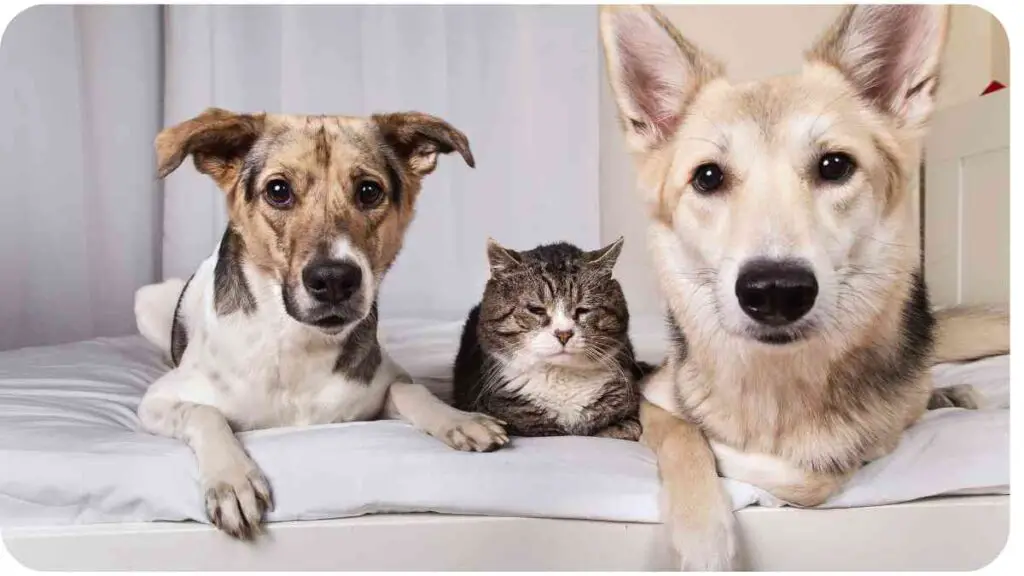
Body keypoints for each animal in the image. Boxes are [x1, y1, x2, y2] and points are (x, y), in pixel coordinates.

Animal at [136, 107, 512, 537]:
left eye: (369, 191)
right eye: (278, 190)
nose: (334, 279)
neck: (298, 341)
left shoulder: (379, 385)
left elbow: (411, 391)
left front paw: (458, 420)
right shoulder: (157, 401)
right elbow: (204, 413)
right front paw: (232, 479)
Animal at [598, 3, 1007, 569]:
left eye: (834, 166)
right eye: (707, 177)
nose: (775, 291)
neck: (778, 383)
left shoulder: (867, 445)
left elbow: (816, 472)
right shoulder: (653, 398)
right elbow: (683, 434)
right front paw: (704, 536)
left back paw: (955, 393)